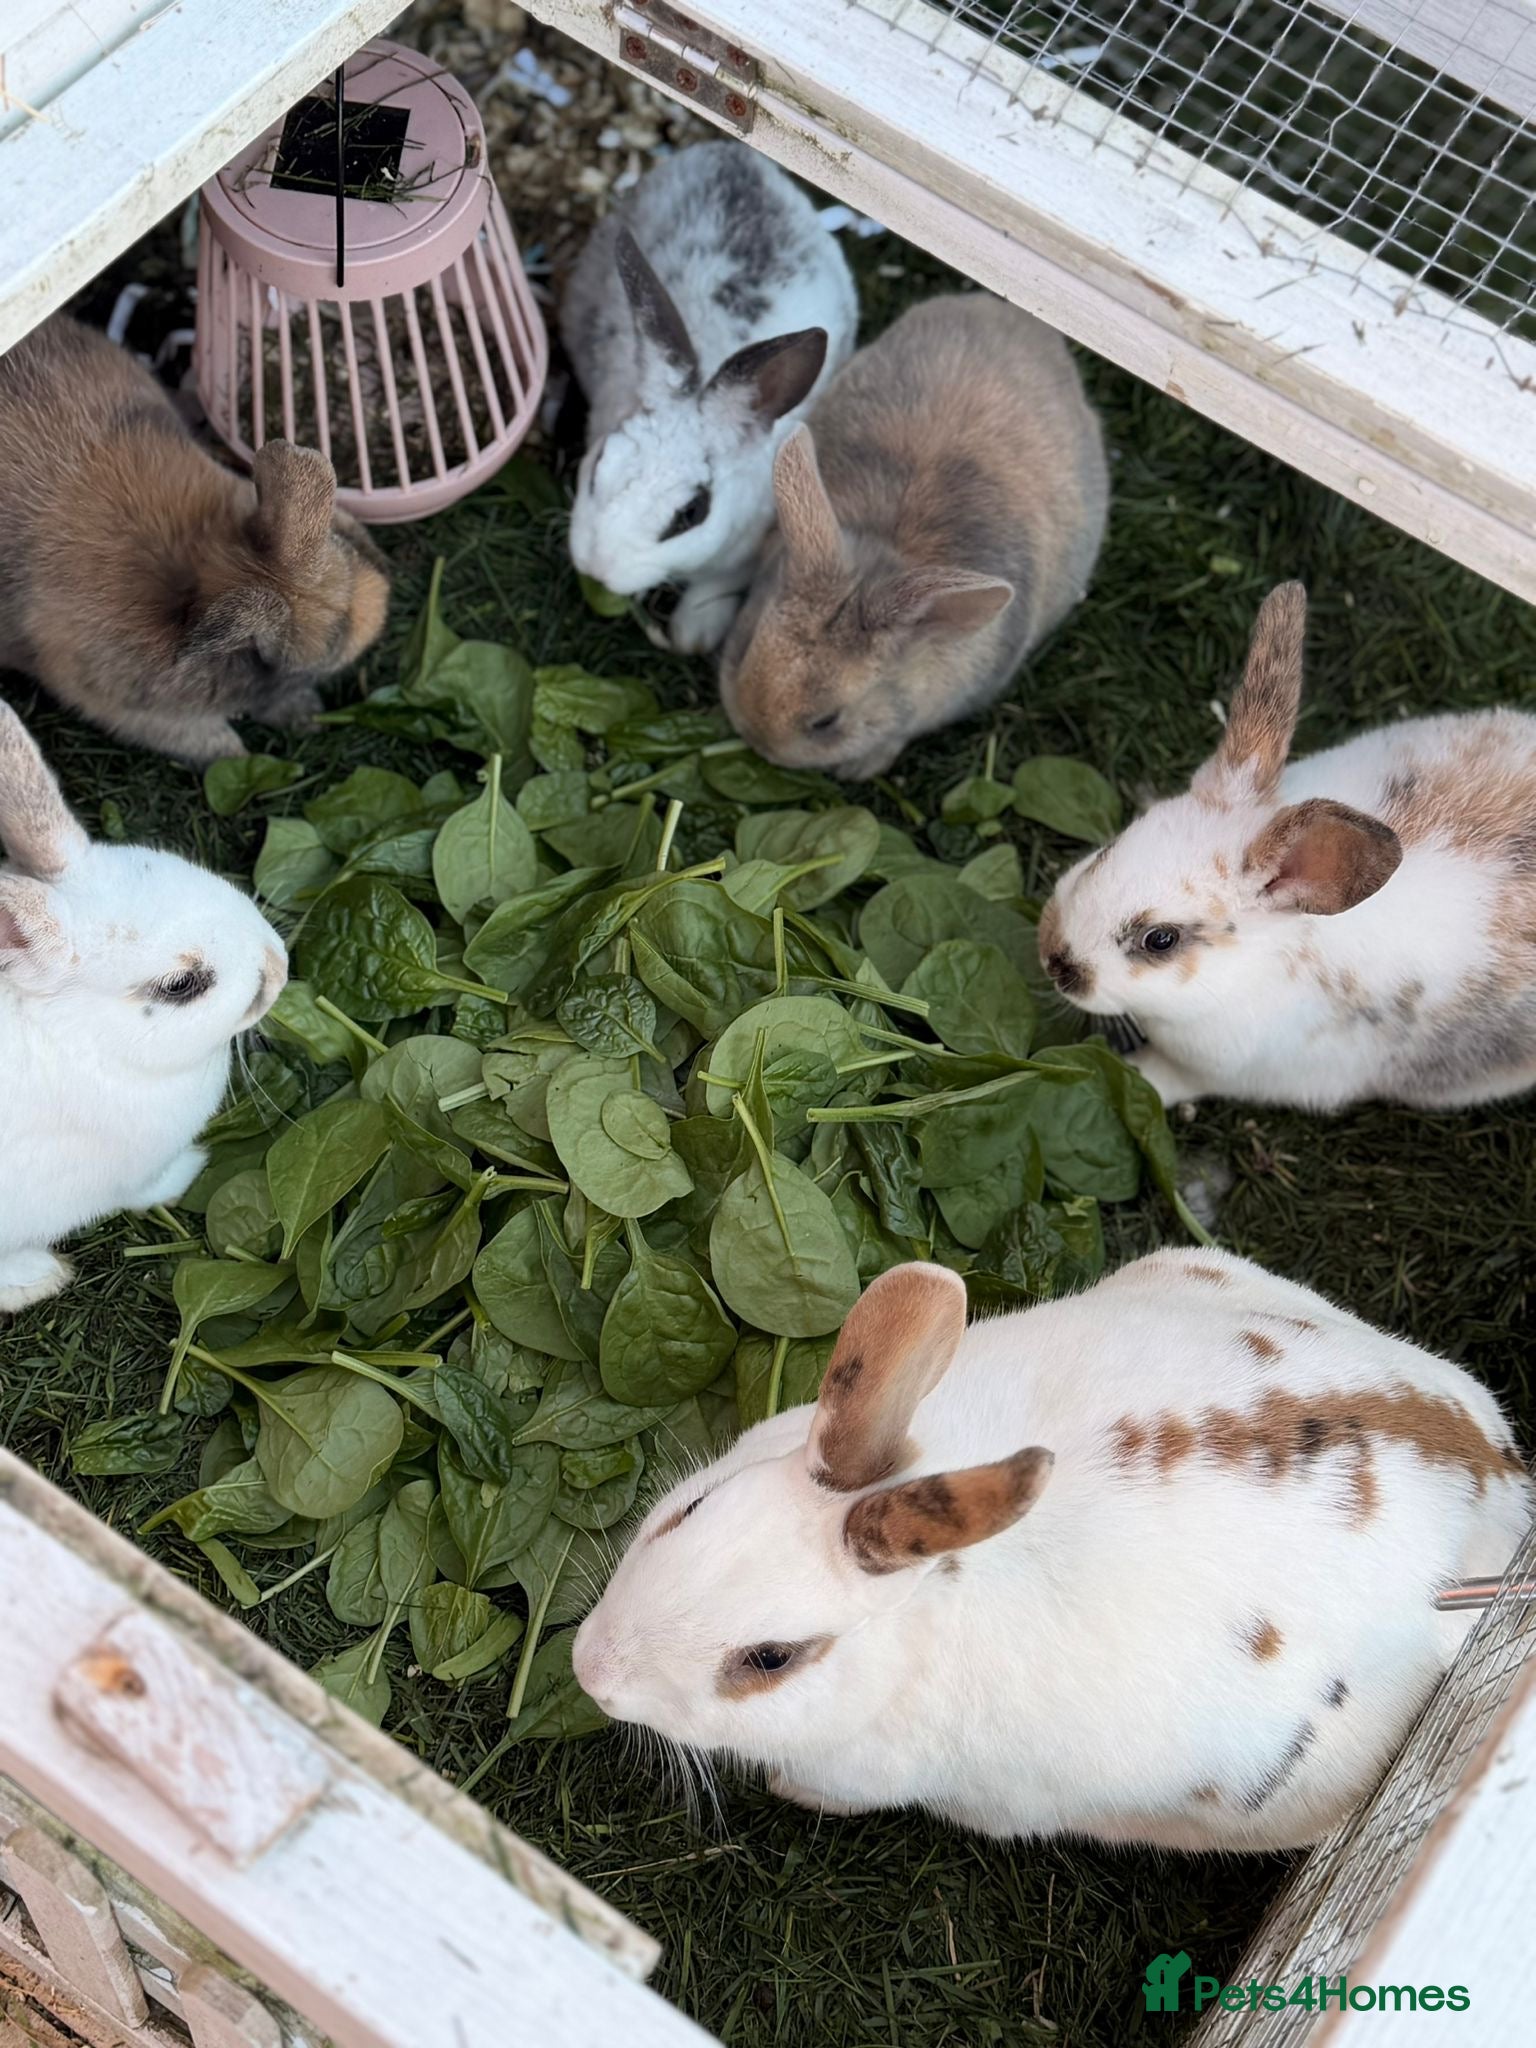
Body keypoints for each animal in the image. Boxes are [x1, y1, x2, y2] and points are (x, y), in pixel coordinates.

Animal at [0, 315, 390, 765]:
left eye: (345, 541)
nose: (387, 592)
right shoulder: (119, 705)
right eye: (327, 647)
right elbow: (203, 738)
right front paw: (266, 738)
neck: (211, 562)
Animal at [560, 141, 856, 654]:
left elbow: (715, 587)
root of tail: (732, 151)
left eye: (691, 514)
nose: (598, 565)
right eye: (598, 466)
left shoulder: (746, 551)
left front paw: (694, 636)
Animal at [573, 1254, 1530, 1852]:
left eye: (772, 1658)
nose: (592, 1670)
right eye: (687, 1510)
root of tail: (1499, 1473)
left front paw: (784, 1791)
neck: (929, 1608)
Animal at [719, 292, 1108, 780]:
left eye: (826, 722)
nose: (755, 739)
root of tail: (1019, 318)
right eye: (746, 648)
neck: (885, 556)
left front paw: (859, 768)